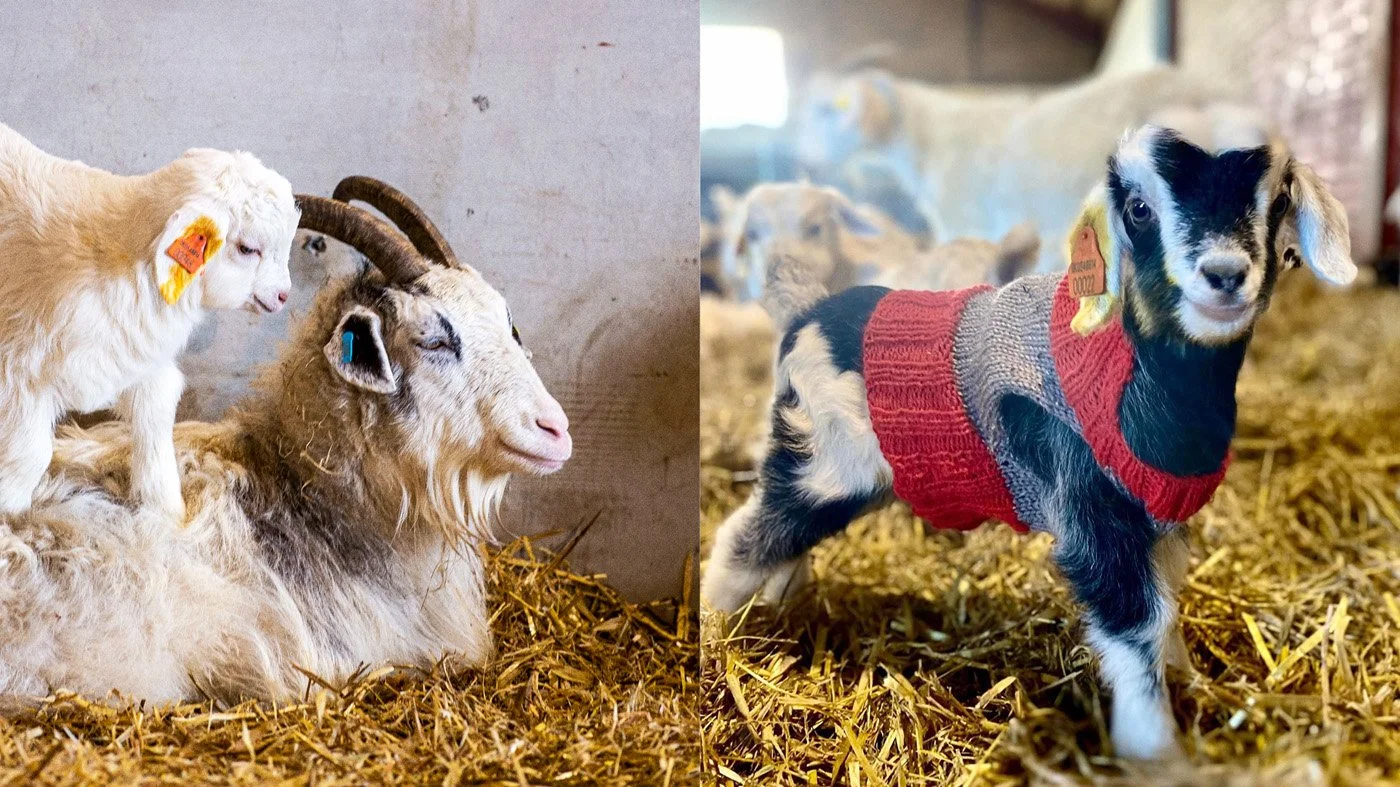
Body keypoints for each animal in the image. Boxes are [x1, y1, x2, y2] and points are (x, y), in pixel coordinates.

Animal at [0, 124, 298, 524]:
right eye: (248, 248)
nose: (283, 295)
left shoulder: (141, 364)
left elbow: (155, 431)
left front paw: (168, 514)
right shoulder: (20, 371)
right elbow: (31, 454)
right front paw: (10, 512)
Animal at [702, 126, 1354, 759]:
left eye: (1276, 203)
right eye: (1139, 209)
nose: (1223, 273)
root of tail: (805, 312)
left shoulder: (1158, 521)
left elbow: (1167, 605)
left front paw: (1189, 681)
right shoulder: (1092, 513)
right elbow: (1137, 621)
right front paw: (1155, 750)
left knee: (780, 541)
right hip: (824, 464)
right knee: (744, 536)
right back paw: (715, 629)